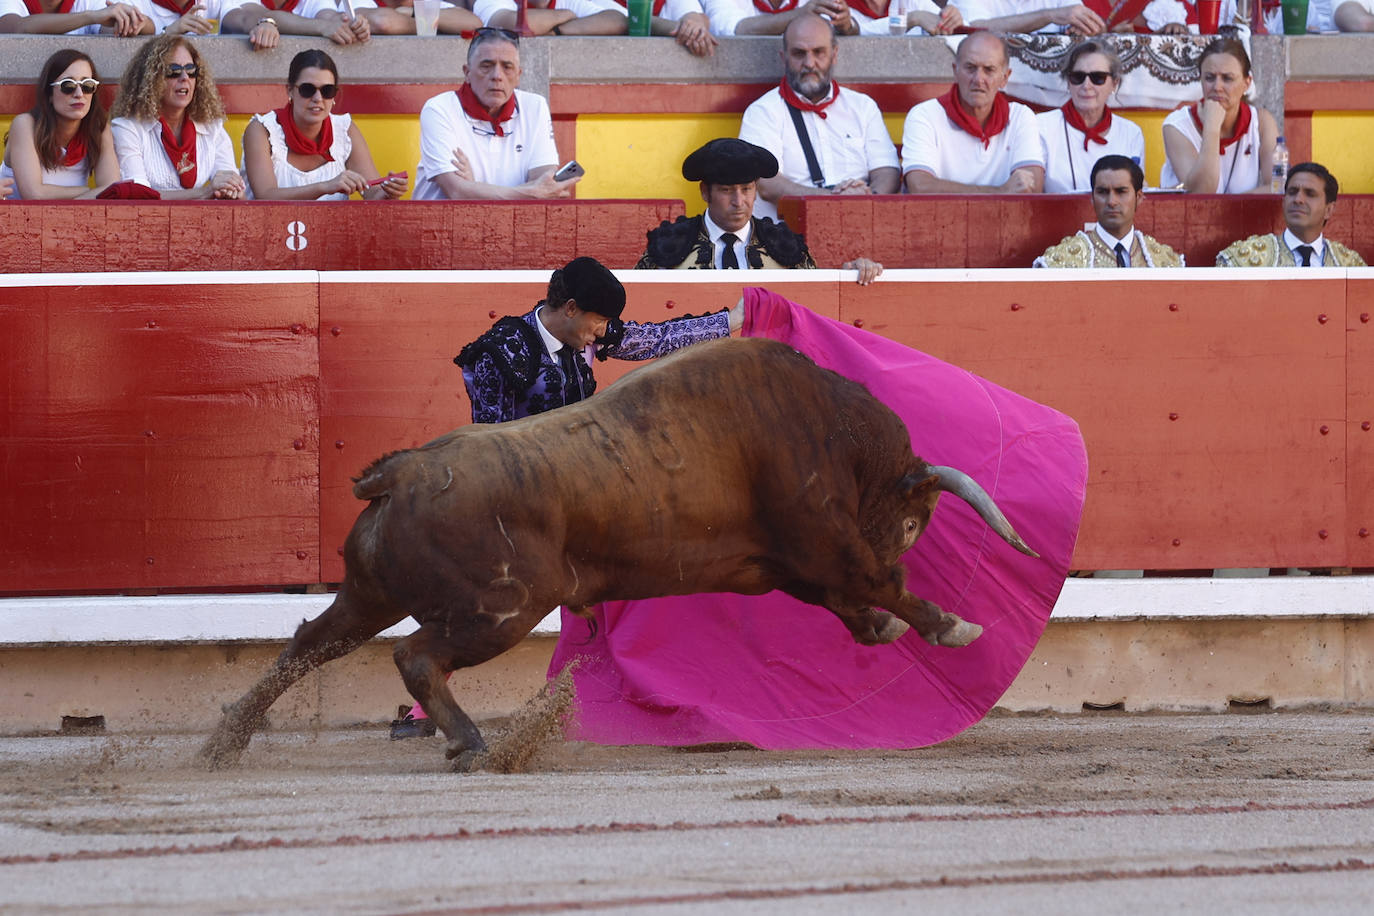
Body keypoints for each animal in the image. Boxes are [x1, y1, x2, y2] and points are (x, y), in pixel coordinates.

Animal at [200, 335, 1033, 769]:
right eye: (917, 521)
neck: (836, 432)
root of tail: (402, 471)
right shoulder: (819, 535)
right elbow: (879, 579)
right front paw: (953, 626)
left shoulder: (792, 561)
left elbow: (849, 599)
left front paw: (885, 629)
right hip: (502, 606)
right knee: (414, 655)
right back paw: (472, 745)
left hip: (370, 592)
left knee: (308, 645)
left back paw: (223, 743)